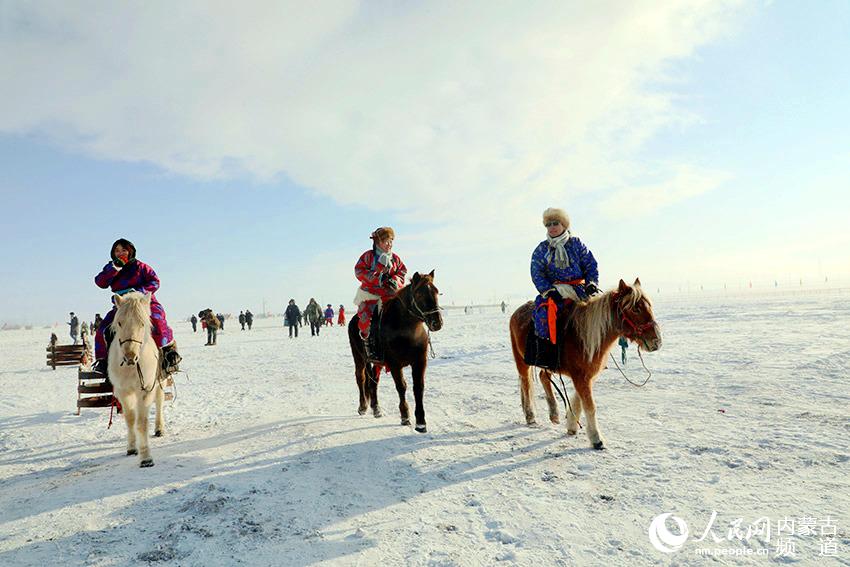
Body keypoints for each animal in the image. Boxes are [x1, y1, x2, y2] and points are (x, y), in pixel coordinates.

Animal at [109, 290, 166, 468]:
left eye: (142, 323)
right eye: (119, 323)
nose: (130, 357)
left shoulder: (145, 390)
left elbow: (141, 422)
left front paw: (146, 457)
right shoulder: (123, 391)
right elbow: (130, 419)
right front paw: (132, 448)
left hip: (160, 381)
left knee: (160, 402)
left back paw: (159, 429)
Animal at [346, 272, 444, 434]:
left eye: (436, 291)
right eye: (419, 293)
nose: (437, 322)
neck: (406, 331)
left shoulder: (419, 362)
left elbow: (419, 387)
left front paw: (421, 422)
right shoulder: (395, 364)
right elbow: (401, 387)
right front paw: (405, 416)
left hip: (377, 363)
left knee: (373, 381)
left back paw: (376, 408)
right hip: (359, 357)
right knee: (361, 378)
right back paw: (363, 407)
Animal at [506, 278, 660, 448]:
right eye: (635, 309)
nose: (656, 342)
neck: (583, 337)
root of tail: (517, 312)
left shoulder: (586, 376)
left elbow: (577, 400)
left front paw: (572, 425)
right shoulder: (581, 377)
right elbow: (590, 406)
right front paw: (596, 439)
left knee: (543, 376)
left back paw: (554, 413)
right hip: (521, 360)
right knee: (526, 383)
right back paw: (530, 416)